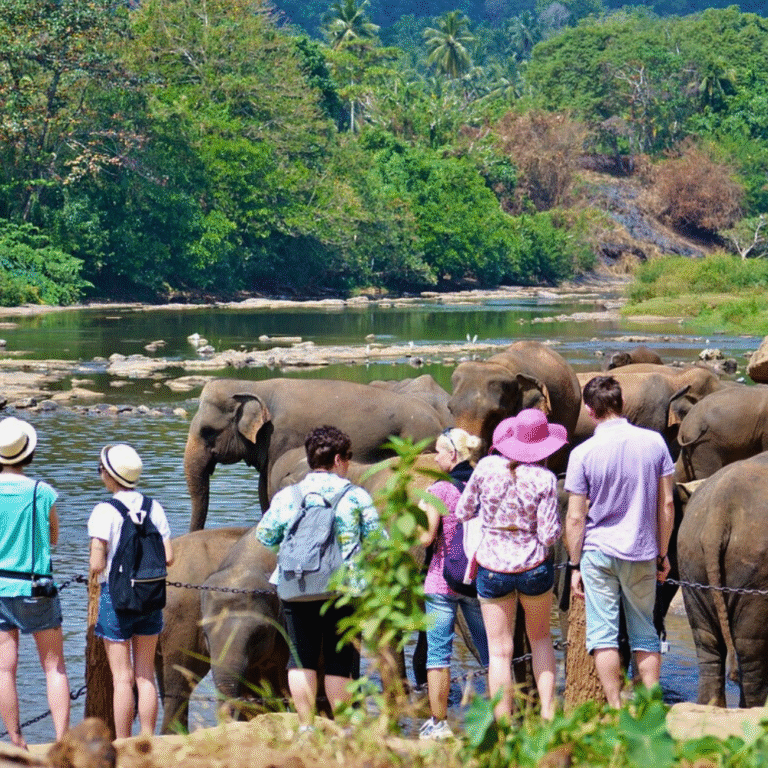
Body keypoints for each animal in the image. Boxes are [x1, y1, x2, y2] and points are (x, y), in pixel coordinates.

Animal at [185, 377, 445, 531]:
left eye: (207, 431)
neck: (253, 385)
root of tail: (440, 420)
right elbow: (262, 489)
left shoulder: (281, 437)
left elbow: (268, 487)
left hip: (417, 439)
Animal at [677, 452, 768, 707]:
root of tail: (718, 511)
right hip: (753, 569)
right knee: (750, 647)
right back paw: (754, 709)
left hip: (691, 564)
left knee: (707, 642)